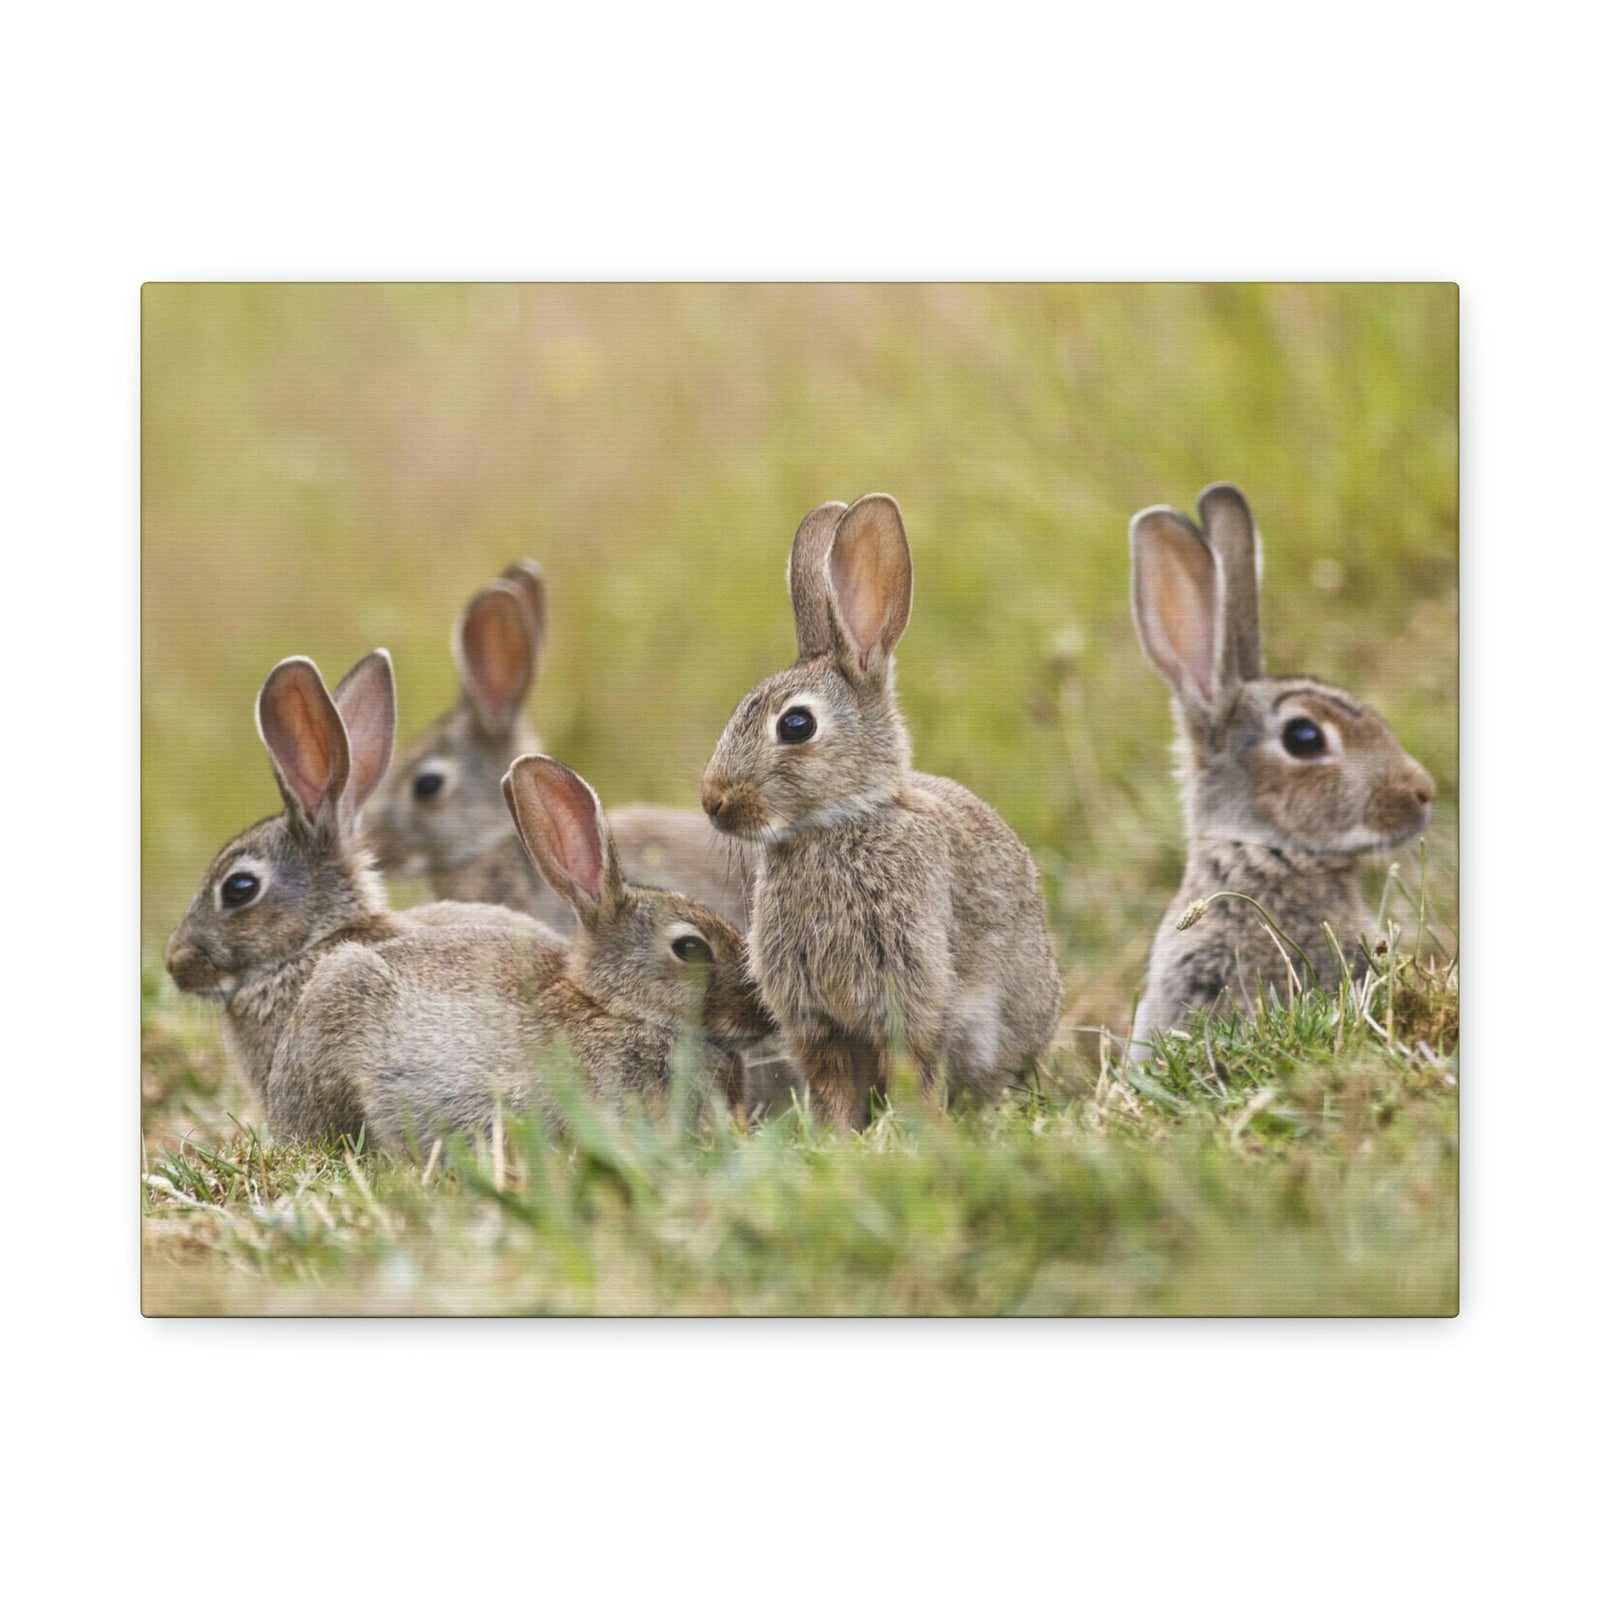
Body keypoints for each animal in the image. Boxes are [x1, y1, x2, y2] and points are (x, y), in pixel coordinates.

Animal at [699, 495, 1065, 1131]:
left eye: (796, 724)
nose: (713, 801)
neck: (837, 824)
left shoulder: (909, 989)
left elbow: (911, 1065)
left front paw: (915, 1129)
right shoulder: (817, 1021)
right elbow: (833, 1084)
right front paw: (836, 1137)